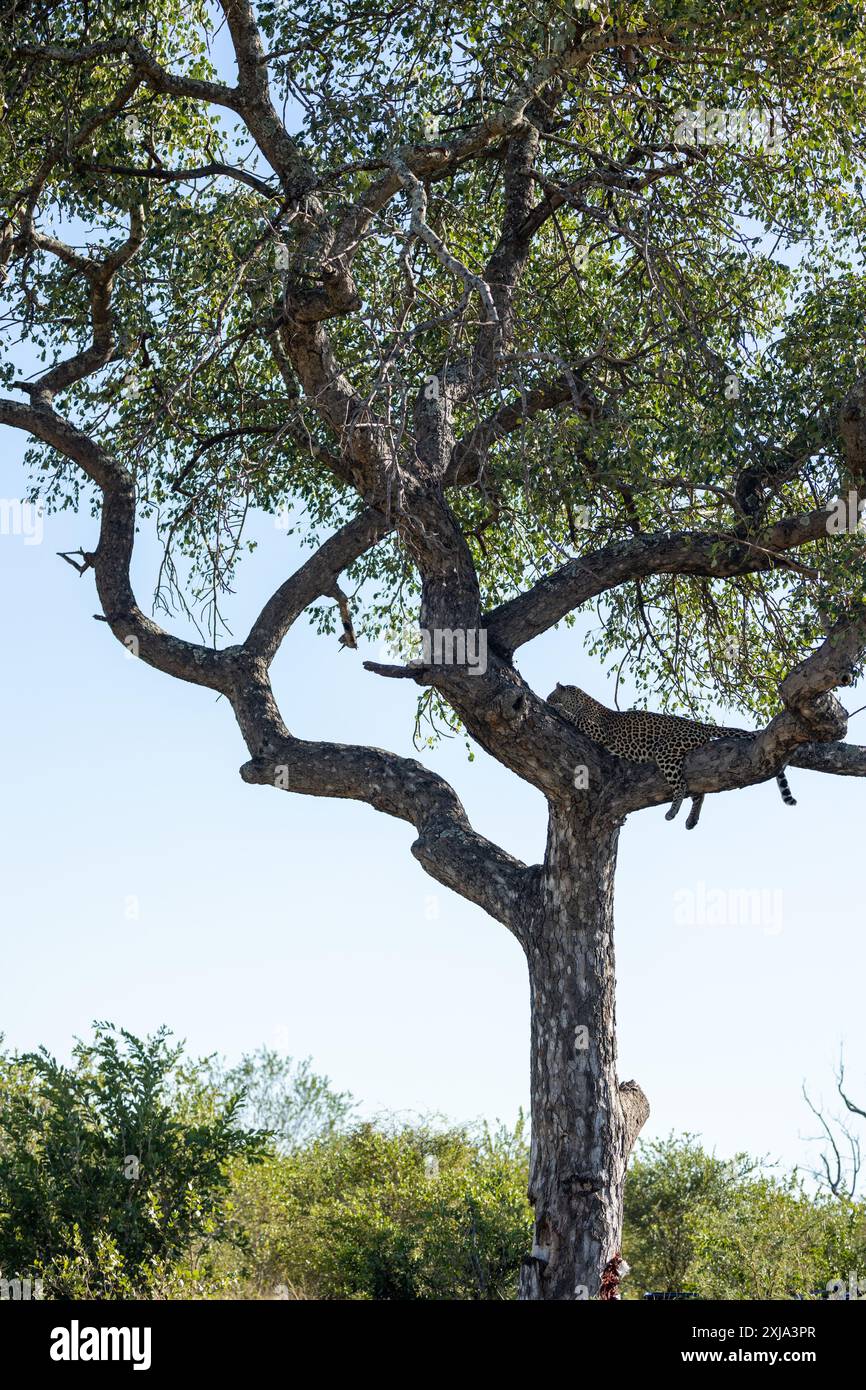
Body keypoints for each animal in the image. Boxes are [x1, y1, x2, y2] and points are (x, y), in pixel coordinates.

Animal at [547, 683, 796, 829]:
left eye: (551, 695)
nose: (548, 700)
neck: (581, 700)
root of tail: (698, 725)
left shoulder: (597, 730)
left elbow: (574, 717)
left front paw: (559, 710)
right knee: (699, 793)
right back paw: (691, 819)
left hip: (666, 751)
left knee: (683, 786)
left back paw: (673, 811)